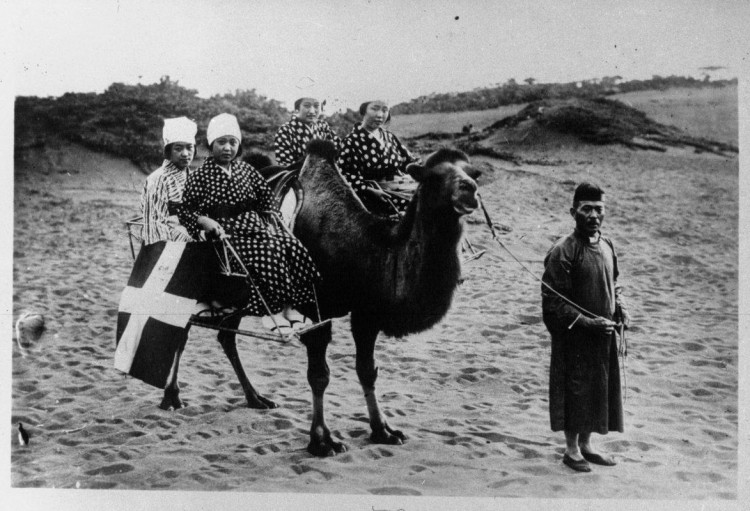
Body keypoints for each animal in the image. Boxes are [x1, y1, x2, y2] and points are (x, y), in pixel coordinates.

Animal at [159, 138, 482, 458]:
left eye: (472, 172)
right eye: (433, 176)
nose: (470, 190)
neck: (360, 245)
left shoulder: (365, 313)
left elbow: (367, 370)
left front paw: (384, 431)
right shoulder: (314, 311)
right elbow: (319, 375)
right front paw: (322, 441)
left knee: (226, 335)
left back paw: (256, 398)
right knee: (182, 329)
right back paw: (171, 397)